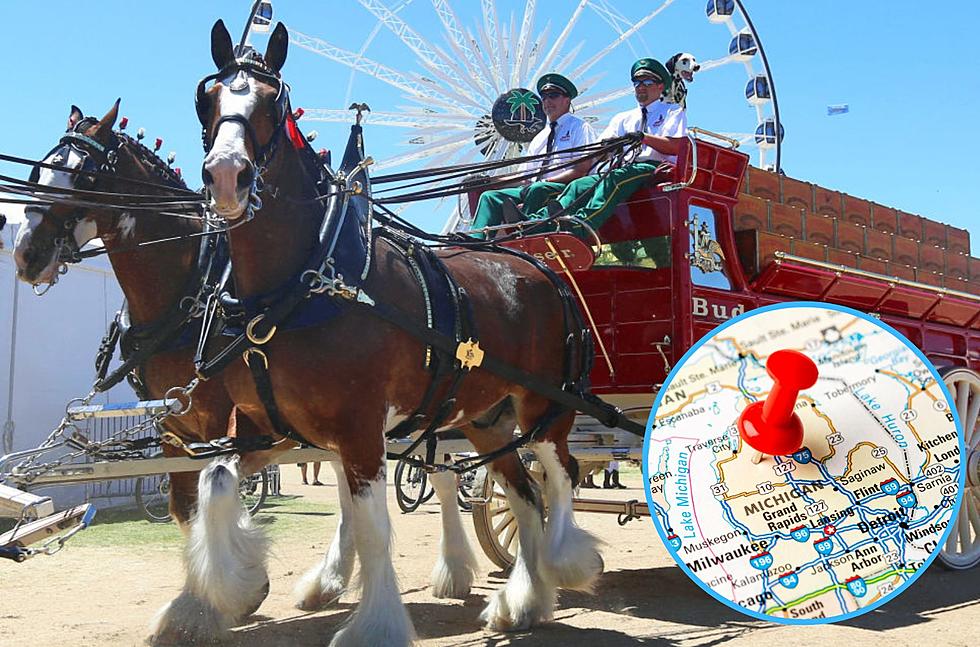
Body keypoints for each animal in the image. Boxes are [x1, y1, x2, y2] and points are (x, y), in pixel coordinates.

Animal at [196, 20, 600, 647]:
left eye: (272, 101)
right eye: (208, 97)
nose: (225, 176)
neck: (307, 281)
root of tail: (540, 266)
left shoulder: (360, 430)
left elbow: (373, 530)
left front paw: (375, 623)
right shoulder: (273, 428)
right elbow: (213, 482)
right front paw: (228, 590)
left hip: (545, 408)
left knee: (557, 478)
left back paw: (565, 564)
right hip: (487, 419)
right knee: (524, 496)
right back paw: (524, 603)